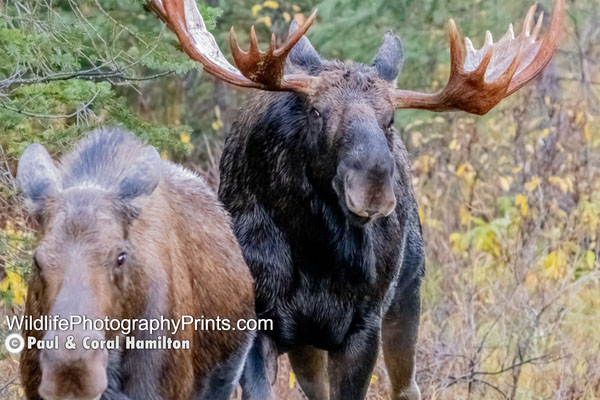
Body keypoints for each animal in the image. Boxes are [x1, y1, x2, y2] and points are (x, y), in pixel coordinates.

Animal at [148, 1, 564, 398]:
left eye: (390, 119)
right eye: (316, 111)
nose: (374, 186)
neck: (313, 254)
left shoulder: (363, 325)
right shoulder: (258, 319)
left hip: (406, 296)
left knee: (407, 387)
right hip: (307, 344)